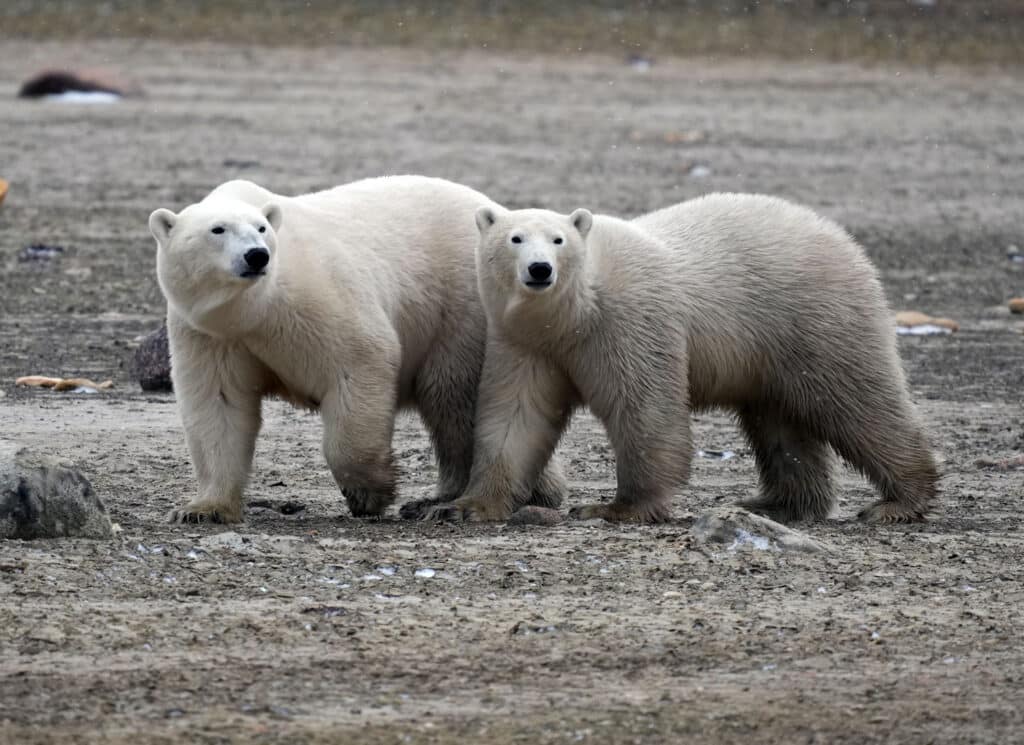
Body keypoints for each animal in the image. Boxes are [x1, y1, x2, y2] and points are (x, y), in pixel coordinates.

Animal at [149, 176, 566, 523]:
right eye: (217, 229)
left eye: (261, 228)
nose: (257, 255)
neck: (253, 311)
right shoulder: (210, 335)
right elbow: (217, 405)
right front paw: (203, 509)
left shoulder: (311, 297)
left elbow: (360, 360)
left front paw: (369, 493)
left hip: (463, 306)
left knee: (454, 397)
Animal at [430, 193, 939, 524]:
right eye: (514, 238)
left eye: (558, 240)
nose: (540, 270)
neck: (575, 314)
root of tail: (839, 237)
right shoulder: (525, 344)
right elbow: (515, 417)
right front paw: (463, 506)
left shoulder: (629, 321)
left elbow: (644, 409)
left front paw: (616, 507)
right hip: (774, 351)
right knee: (779, 423)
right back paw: (777, 504)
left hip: (815, 317)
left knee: (858, 402)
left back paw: (898, 502)